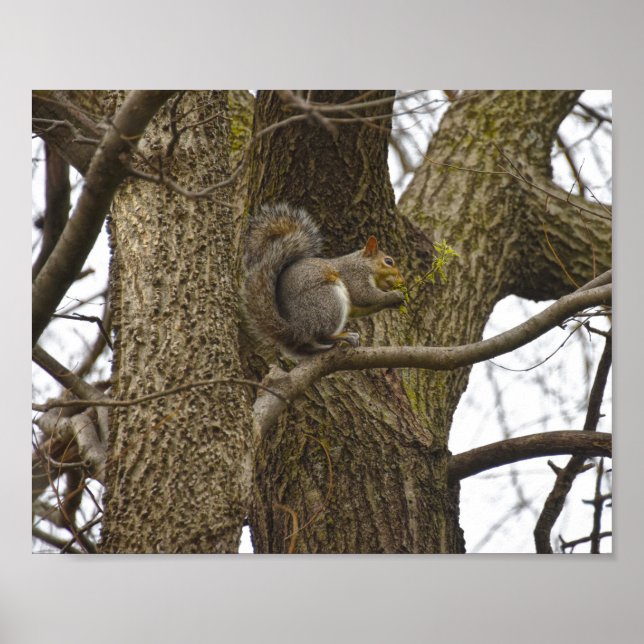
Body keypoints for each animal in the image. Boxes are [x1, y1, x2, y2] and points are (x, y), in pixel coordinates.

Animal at [243, 203, 405, 358]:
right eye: (389, 261)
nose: (402, 281)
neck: (363, 264)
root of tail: (297, 329)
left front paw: (395, 302)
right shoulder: (354, 275)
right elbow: (365, 295)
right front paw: (393, 295)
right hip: (328, 300)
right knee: (323, 335)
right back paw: (344, 336)